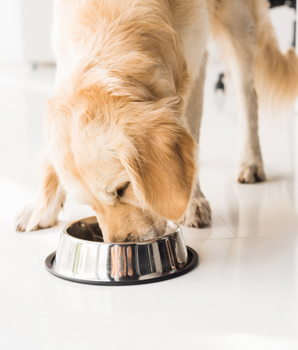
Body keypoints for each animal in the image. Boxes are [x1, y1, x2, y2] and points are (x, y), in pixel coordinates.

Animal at [15, 0, 298, 241]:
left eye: (122, 189)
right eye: (89, 204)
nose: (120, 245)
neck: (113, 15)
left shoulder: (195, 59)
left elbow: (190, 132)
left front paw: (191, 202)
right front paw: (40, 205)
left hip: (239, 23)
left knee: (247, 97)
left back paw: (250, 162)